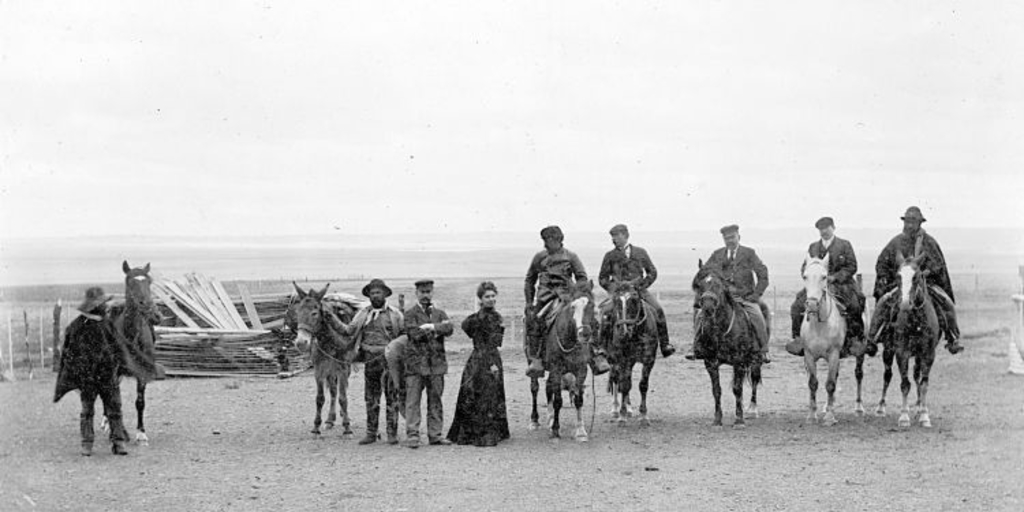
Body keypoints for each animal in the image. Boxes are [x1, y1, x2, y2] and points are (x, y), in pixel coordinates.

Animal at [284, 282, 356, 438]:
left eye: (314, 313)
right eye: (298, 312)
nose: (301, 343)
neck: (329, 340)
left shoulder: (342, 368)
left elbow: (343, 398)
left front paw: (347, 427)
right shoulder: (319, 370)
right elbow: (320, 398)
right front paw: (316, 426)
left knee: (342, 391)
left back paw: (343, 415)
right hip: (330, 369)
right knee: (334, 391)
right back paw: (330, 419)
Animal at [602, 282, 659, 425]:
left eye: (634, 300)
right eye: (616, 301)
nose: (623, 330)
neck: (635, 334)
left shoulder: (649, 360)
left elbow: (643, 385)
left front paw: (643, 415)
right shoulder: (623, 360)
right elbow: (625, 385)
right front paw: (622, 416)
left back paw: (628, 409)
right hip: (614, 361)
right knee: (617, 380)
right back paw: (616, 409)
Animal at [692, 260, 765, 428]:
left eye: (719, 286)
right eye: (700, 285)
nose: (707, 307)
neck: (719, 331)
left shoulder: (739, 361)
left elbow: (737, 389)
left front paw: (739, 419)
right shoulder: (710, 362)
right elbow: (716, 390)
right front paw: (717, 419)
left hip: (756, 360)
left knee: (755, 380)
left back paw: (752, 409)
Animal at [798, 253, 847, 425]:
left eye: (824, 276)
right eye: (805, 276)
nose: (812, 305)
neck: (819, 326)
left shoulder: (834, 355)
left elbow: (830, 384)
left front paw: (830, 417)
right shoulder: (808, 355)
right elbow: (812, 383)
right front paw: (812, 415)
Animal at [868, 252, 937, 428]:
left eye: (916, 276)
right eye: (898, 276)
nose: (905, 303)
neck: (916, 323)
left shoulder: (928, 354)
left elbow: (924, 384)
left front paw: (924, 415)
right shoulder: (901, 352)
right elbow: (905, 384)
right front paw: (904, 417)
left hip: (918, 356)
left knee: (917, 376)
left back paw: (919, 407)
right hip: (888, 351)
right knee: (887, 376)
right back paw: (881, 408)